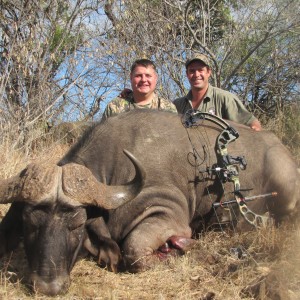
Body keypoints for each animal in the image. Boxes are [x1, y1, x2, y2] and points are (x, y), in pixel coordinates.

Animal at [0, 109, 300, 294]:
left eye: (77, 225)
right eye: (29, 224)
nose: (48, 286)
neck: (116, 170)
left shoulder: (167, 215)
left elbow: (134, 250)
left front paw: (183, 247)